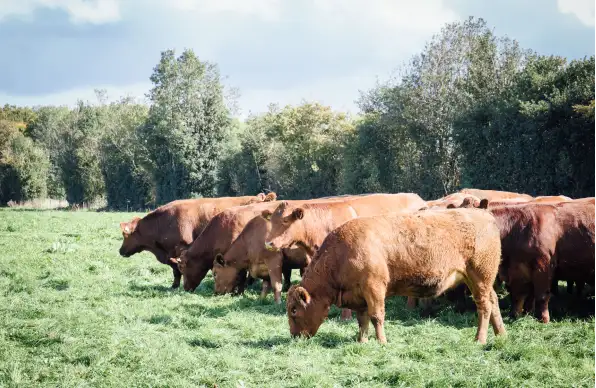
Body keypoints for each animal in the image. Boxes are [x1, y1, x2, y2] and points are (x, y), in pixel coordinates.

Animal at [286, 208, 506, 344]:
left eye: (294, 310)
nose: (294, 336)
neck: (342, 252)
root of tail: (485, 215)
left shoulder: (374, 289)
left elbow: (376, 316)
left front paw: (382, 342)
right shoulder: (359, 295)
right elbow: (362, 319)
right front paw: (362, 341)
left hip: (479, 278)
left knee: (484, 306)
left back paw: (479, 339)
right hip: (480, 281)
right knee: (494, 301)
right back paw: (501, 335)